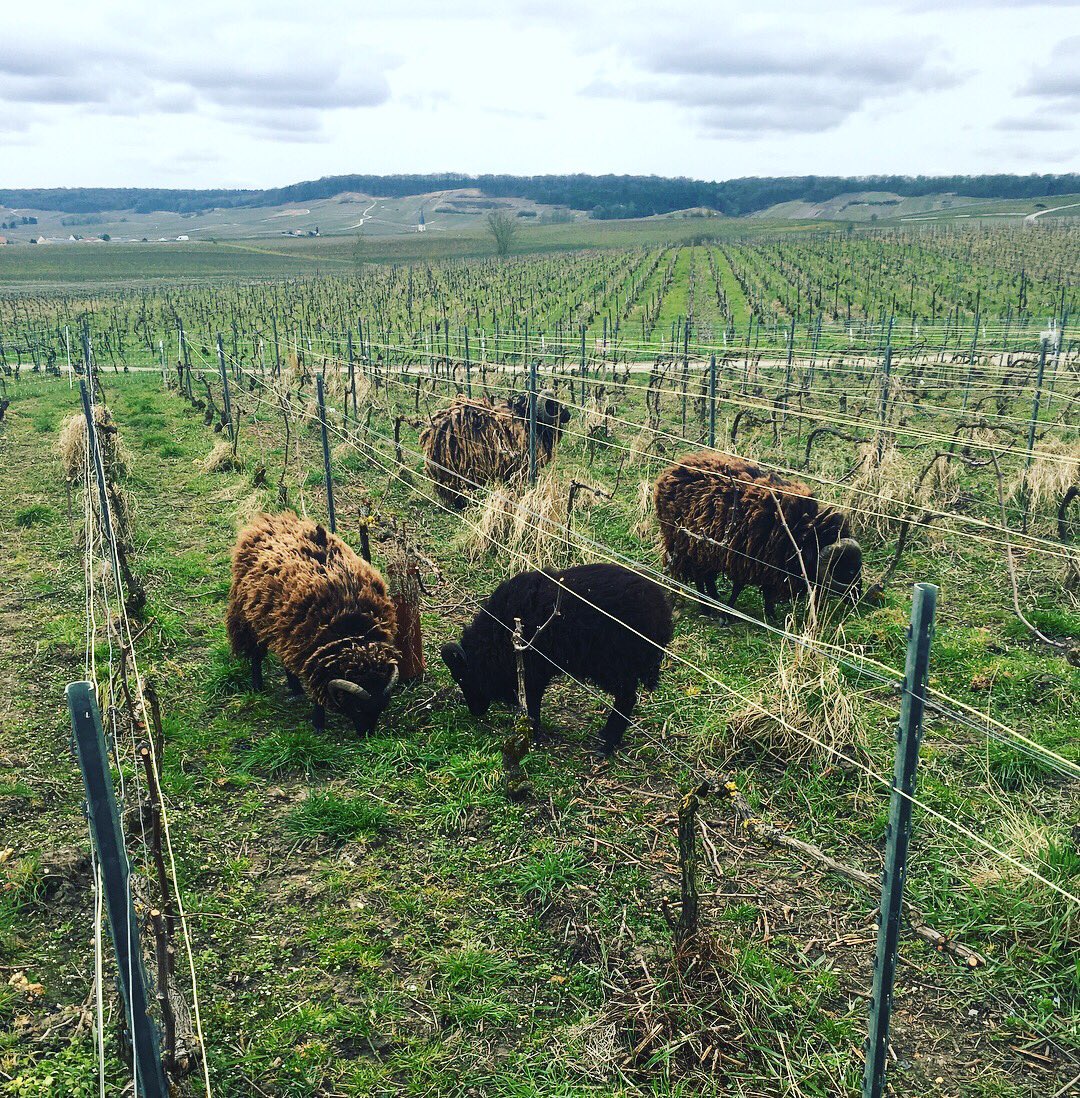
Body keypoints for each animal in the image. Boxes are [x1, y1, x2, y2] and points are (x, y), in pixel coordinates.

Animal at [226, 511, 399, 734]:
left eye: (381, 708)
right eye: (357, 708)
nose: (366, 736)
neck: (353, 632)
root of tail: (269, 520)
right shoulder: (312, 653)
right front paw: (318, 723)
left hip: (284, 628)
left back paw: (295, 688)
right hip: (252, 617)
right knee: (256, 653)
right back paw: (258, 687)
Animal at [440, 563, 672, 756]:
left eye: (462, 678)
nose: (475, 712)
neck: (497, 635)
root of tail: (662, 614)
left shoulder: (532, 673)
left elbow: (532, 706)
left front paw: (531, 738)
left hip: (615, 666)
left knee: (626, 699)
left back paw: (606, 746)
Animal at [654, 452, 862, 621]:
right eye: (849, 570)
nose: (858, 597)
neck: (801, 532)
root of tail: (668, 472)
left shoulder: (771, 561)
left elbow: (767, 592)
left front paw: (771, 616)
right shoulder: (745, 556)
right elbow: (739, 587)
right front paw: (728, 614)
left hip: (704, 548)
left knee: (707, 575)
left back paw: (713, 598)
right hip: (687, 543)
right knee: (699, 576)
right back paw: (706, 608)